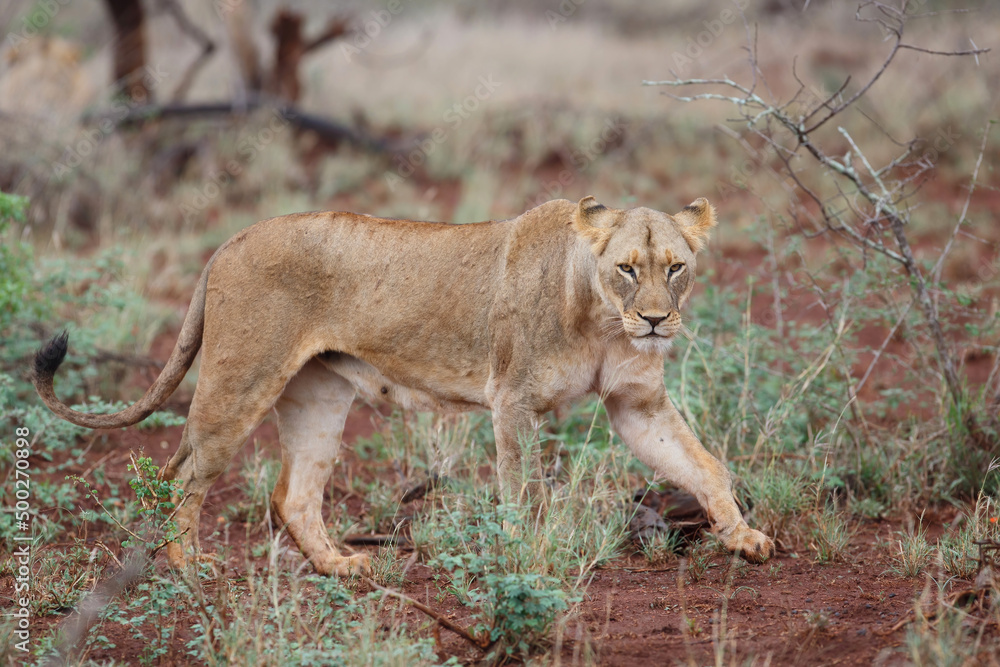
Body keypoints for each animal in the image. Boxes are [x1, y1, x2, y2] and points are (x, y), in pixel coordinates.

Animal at [33, 196, 775, 576]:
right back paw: (189, 572)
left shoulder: (635, 403)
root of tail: (231, 239)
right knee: (180, 474)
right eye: (626, 267)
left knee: (292, 493)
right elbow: (523, 491)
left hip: (318, 395)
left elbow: (704, 464)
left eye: (675, 267)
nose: (653, 320)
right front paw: (528, 559)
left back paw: (340, 566)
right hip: (238, 381)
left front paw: (744, 536)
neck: (601, 318)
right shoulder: (514, 401)